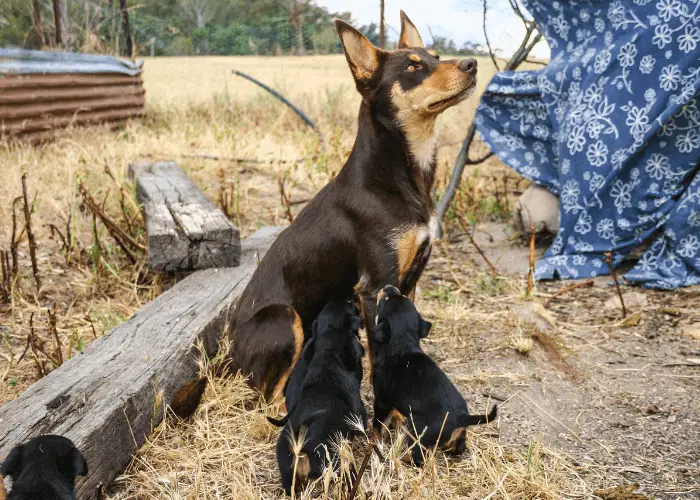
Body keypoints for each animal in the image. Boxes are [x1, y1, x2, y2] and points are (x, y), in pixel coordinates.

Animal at [227, 11, 478, 400]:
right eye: (412, 66)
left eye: (436, 56)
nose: (472, 64)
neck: (397, 175)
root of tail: (228, 354)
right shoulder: (376, 287)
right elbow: (381, 357)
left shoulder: (409, 280)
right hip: (284, 318)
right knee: (267, 394)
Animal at [372, 286, 498, 464]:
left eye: (385, 300)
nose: (388, 286)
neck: (403, 342)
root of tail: (463, 417)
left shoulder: (382, 401)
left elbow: (378, 425)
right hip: (454, 436)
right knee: (459, 446)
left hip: (419, 434)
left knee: (417, 457)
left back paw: (400, 459)